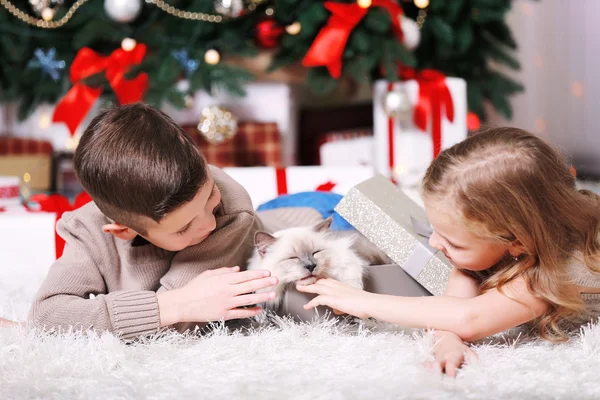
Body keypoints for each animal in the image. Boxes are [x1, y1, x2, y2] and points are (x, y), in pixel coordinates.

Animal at [246, 217, 392, 310]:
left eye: (315, 253)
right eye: (293, 258)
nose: (311, 266)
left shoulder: (346, 255)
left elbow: (351, 277)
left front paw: (352, 292)